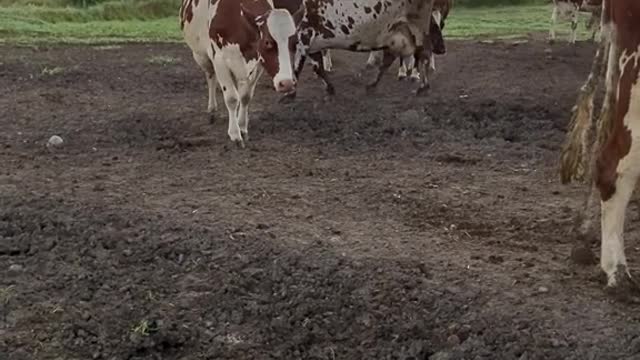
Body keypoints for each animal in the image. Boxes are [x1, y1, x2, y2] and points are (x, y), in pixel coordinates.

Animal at [284, 0, 438, 100]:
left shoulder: (304, 36)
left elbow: (297, 67)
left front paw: (289, 94)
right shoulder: (313, 43)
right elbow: (318, 67)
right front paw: (330, 88)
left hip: (416, 28)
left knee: (423, 53)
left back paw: (423, 87)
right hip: (395, 32)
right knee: (390, 59)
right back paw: (372, 85)